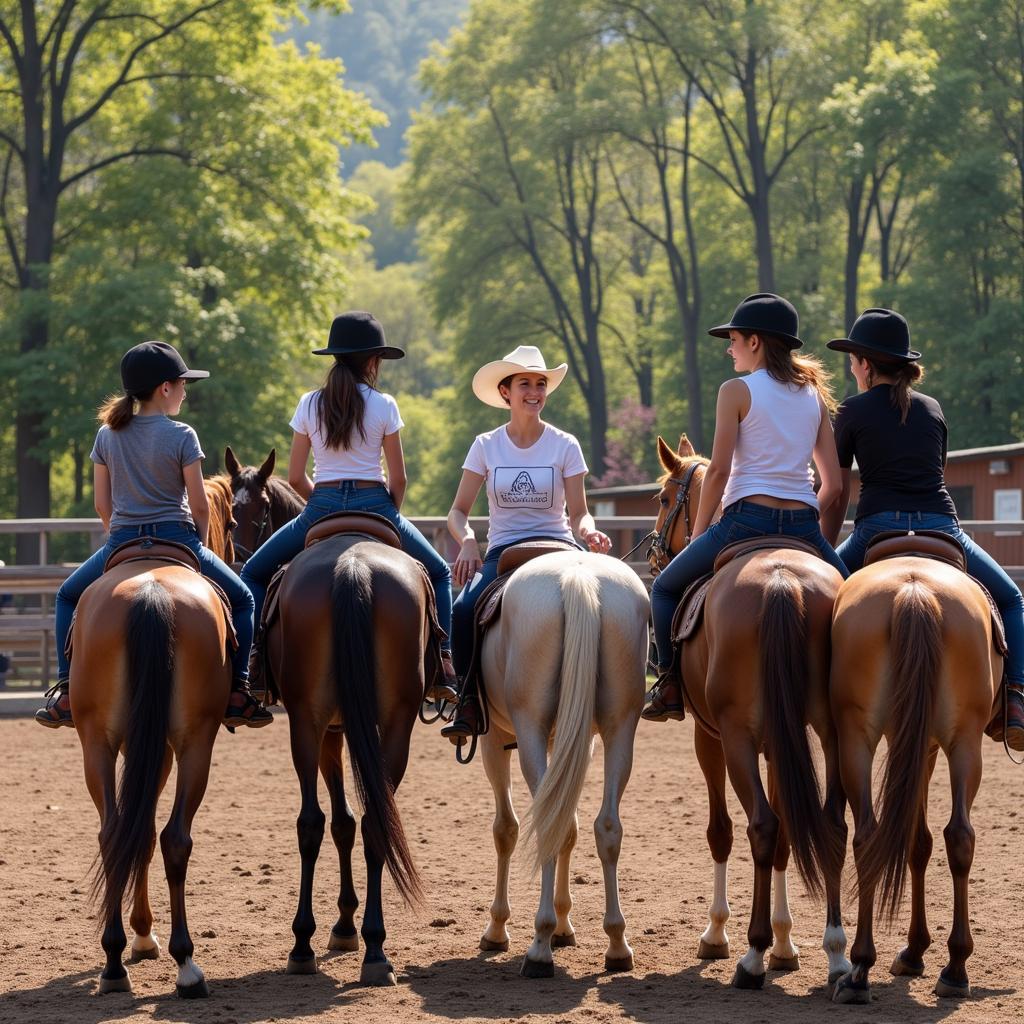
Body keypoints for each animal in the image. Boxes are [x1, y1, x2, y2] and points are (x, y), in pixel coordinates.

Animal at [264, 520, 432, 983]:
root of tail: (352, 566)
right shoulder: (338, 730)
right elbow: (346, 822)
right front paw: (346, 925)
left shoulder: (329, 732)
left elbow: (339, 821)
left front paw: (341, 926)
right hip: (391, 722)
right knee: (372, 819)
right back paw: (374, 950)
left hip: (308, 722)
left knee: (313, 822)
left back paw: (304, 944)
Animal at [473, 552, 647, 974]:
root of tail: (577, 576)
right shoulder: (578, 743)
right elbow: (570, 826)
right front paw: (566, 926)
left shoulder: (493, 740)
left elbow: (506, 829)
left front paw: (498, 928)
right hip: (620, 727)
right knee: (606, 826)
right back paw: (617, 944)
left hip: (529, 730)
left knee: (543, 822)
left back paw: (539, 946)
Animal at [651, 436, 851, 987]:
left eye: (663, 499)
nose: (654, 553)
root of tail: (782, 580)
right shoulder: (785, 742)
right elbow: (787, 836)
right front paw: (787, 944)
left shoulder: (710, 737)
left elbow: (723, 832)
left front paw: (719, 935)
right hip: (830, 732)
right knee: (830, 826)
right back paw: (837, 952)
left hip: (737, 737)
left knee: (760, 824)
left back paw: (751, 956)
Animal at [831, 544, 999, 999]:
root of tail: (915, 591)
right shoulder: (924, 747)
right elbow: (919, 841)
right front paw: (915, 950)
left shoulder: (918, 746)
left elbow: (915, 841)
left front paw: (914, 950)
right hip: (962, 740)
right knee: (957, 835)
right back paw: (954, 968)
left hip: (860, 737)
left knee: (872, 836)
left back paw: (862, 969)